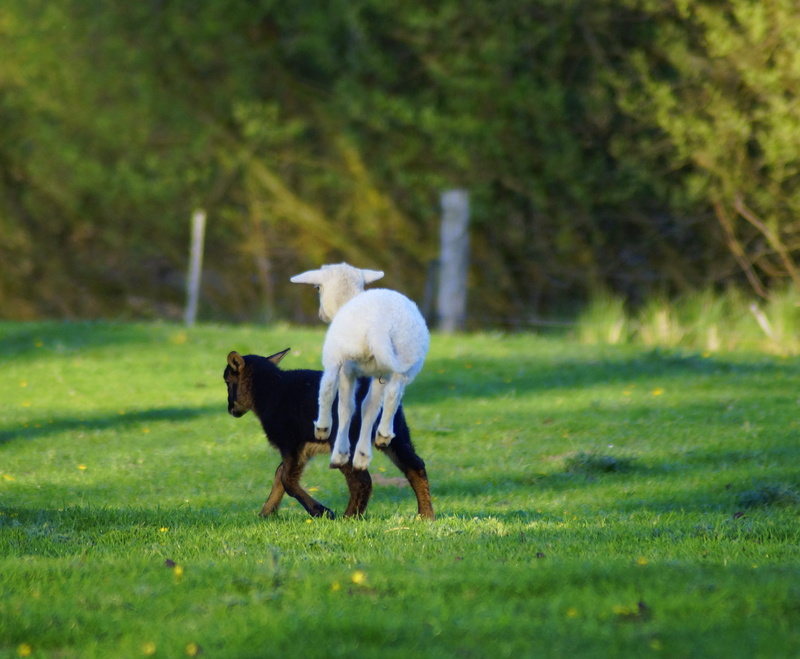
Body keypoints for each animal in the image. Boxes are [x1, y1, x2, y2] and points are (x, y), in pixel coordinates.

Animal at [224, 348, 434, 519]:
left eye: (227, 382)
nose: (230, 410)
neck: (268, 390)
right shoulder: (302, 447)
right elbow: (280, 474)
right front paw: (266, 513)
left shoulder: (291, 442)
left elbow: (286, 479)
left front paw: (321, 511)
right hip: (396, 433)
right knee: (415, 466)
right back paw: (425, 515)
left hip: (346, 439)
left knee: (362, 481)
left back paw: (348, 517)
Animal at [290, 263, 430, 471]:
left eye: (317, 288)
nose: (321, 315)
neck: (347, 298)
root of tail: (380, 325)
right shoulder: (380, 374)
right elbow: (369, 407)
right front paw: (362, 455)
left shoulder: (347, 369)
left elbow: (345, 405)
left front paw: (339, 450)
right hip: (405, 358)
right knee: (392, 395)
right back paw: (383, 435)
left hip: (339, 354)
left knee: (330, 389)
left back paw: (325, 430)